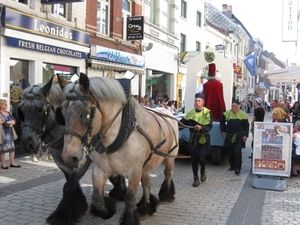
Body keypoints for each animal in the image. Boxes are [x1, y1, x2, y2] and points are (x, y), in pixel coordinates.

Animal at [17, 76, 125, 224]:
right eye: (21, 111)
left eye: (39, 110)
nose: (27, 144)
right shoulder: (60, 159)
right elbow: (70, 182)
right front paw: (77, 203)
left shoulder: (83, 160)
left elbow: (68, 185)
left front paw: (62, 214)